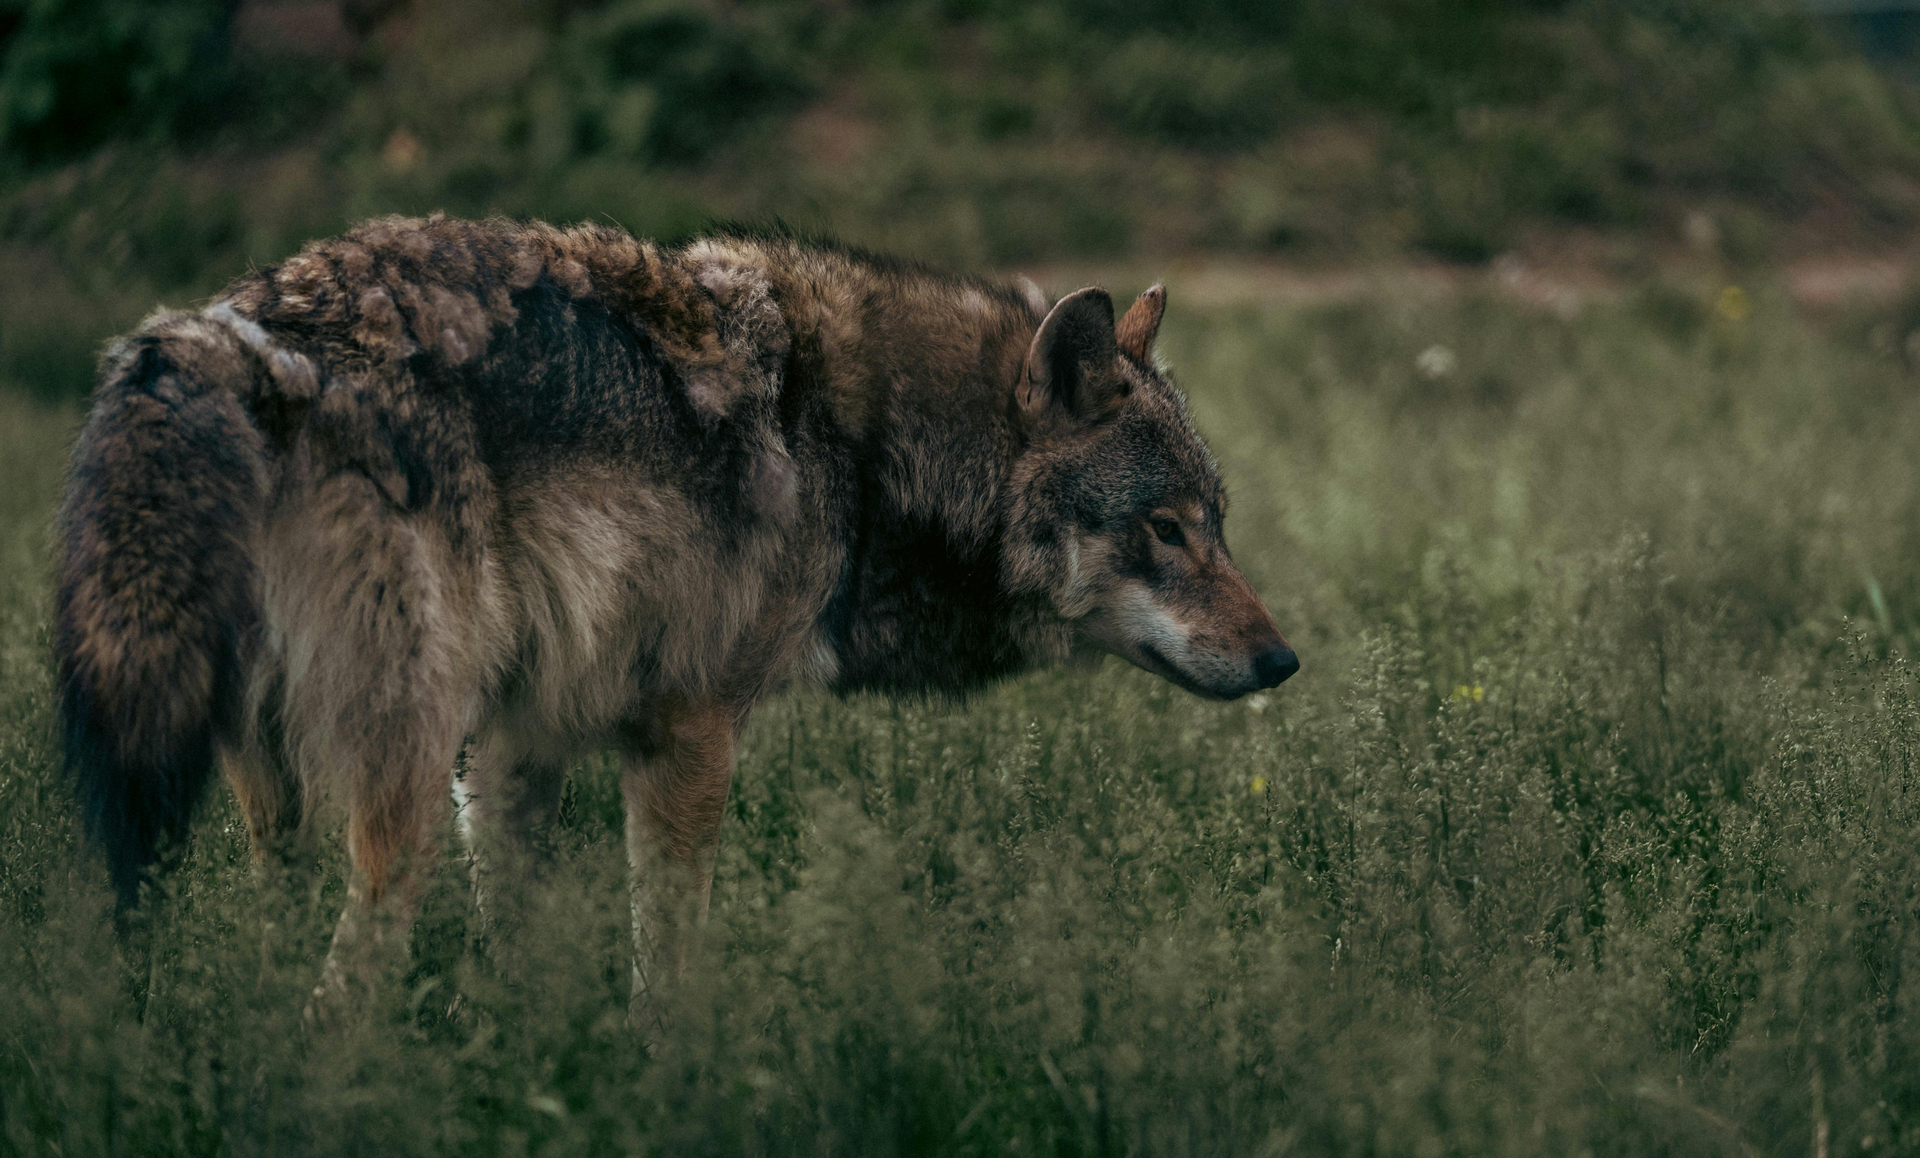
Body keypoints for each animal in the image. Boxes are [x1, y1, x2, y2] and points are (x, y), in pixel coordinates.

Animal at [53, 214, 1298, 1015]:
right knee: (339, 995)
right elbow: (671, 974)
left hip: (274, 796)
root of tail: (229, 334)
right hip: (392, 786)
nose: (1284, 659)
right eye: (1167, 529)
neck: (858, 448)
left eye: (1219, 524)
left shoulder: (511, 745)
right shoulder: (688, 733)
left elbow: (517, 960)